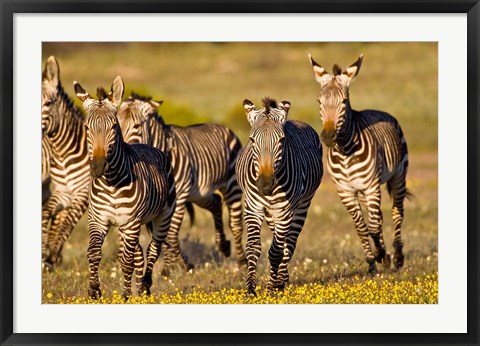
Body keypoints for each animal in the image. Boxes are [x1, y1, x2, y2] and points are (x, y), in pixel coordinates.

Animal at [76, 76, 177, 300]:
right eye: (87, 128)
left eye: (113, 127)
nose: (98, 166)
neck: (111, 183)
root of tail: (149, 145)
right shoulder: (98, 219)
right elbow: (94, 253)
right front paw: (94, 291)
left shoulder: (131, 223)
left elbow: (126, 262)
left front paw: (125, 295)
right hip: (127, 227)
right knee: (139, 254)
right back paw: (139, 289)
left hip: (162, 218)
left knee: (152, 251)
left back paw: (145, 288)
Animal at [116, 93, 248, 272]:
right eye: (117, 124)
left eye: (136, 126)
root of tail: (222, 126)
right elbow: (165, 235)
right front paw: (172, 266)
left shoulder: (178, 198)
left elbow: (170, 235)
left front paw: (178, 266)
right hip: (200, 193)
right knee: (215, 202)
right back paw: (224, 246)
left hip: (231, 185)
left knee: (235, 223)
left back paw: (242, 261)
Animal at [235, 97, 322, 294]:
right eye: (252, 140)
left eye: (281, 140)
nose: (265, 185)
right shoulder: (253, 208)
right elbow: (253, 248)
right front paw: (250, 289)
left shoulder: (284, 211)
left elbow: (276, 252)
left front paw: (272, 287)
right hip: (271, 213)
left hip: (301, 205)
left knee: (289, 243)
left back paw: (281, 281)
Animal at [312, 53, 408, 274]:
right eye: (320, 101)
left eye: (344, 101)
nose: (328, 137)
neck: (346, 151)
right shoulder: (346, 191)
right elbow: (362, 229)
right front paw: (373, 262)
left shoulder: (371, 186)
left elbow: (372, 227)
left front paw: (380, 254)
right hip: (364, 191)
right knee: (379, 218)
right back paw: (386, 258)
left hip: (398, 176)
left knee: (397, 212)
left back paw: (398, 257)